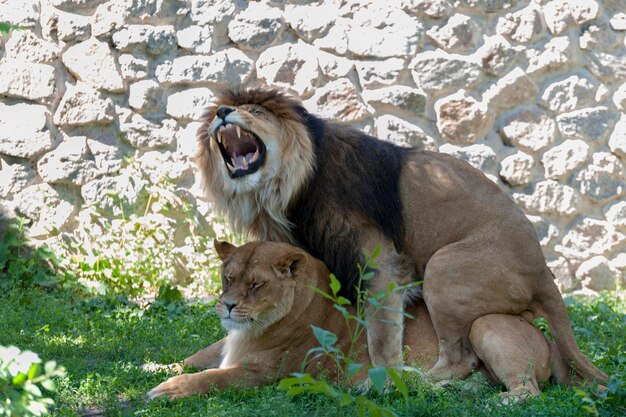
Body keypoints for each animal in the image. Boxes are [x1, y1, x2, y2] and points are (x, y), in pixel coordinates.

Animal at [149, 240, 584, 400]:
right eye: (228, 277)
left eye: (256, 285)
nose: (226, 305)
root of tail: (546, 338)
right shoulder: (228, 343)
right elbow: (194, 358)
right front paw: (153, 366)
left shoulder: (270, 373)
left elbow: (212, 378)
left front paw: (166, 390)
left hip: (485, 324)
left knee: (529, 390)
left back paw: (498, 400)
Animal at [196, 87, 604, 384]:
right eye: (224, 108)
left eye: (256, 111)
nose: (221, 112)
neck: (288, 187)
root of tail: (543, 271)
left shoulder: (378, 257)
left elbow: (380, 331)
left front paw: (384, 379)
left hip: (444, 268)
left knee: (460, 358)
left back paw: (424, 382)